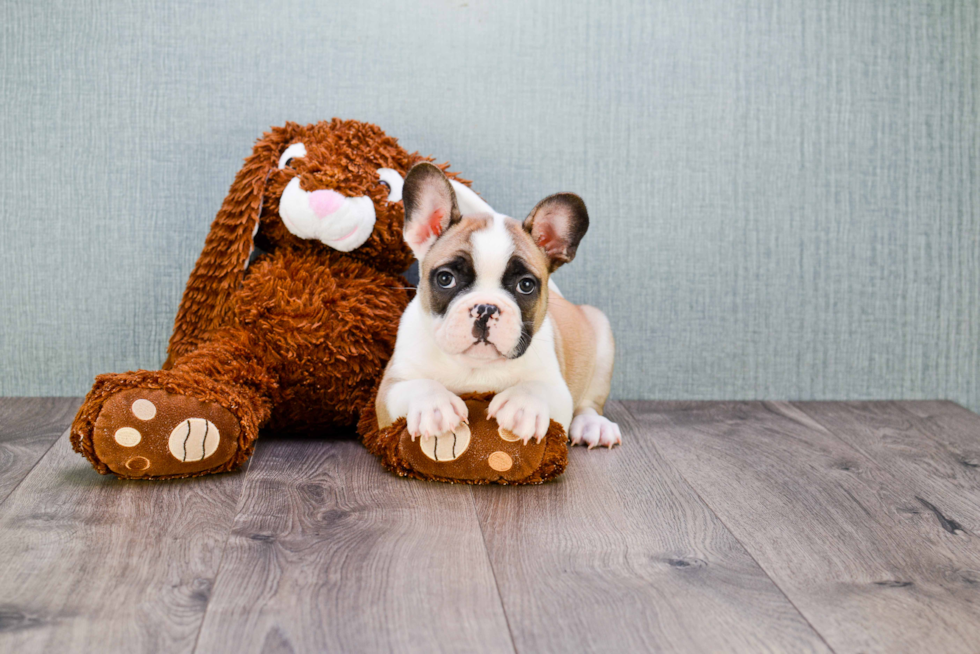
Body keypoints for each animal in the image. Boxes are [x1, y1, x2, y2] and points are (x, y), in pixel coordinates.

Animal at [376, 164, 620, 452]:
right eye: (446, 278)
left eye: (526, 285)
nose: (485, 308)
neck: (476, 367)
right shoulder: (389, 389)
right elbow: (416, 386)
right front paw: (433, 405)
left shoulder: (558, 390)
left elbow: (538, 388)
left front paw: (523, 405)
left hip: (601, 335)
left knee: (589, 404)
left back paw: (594, 426)